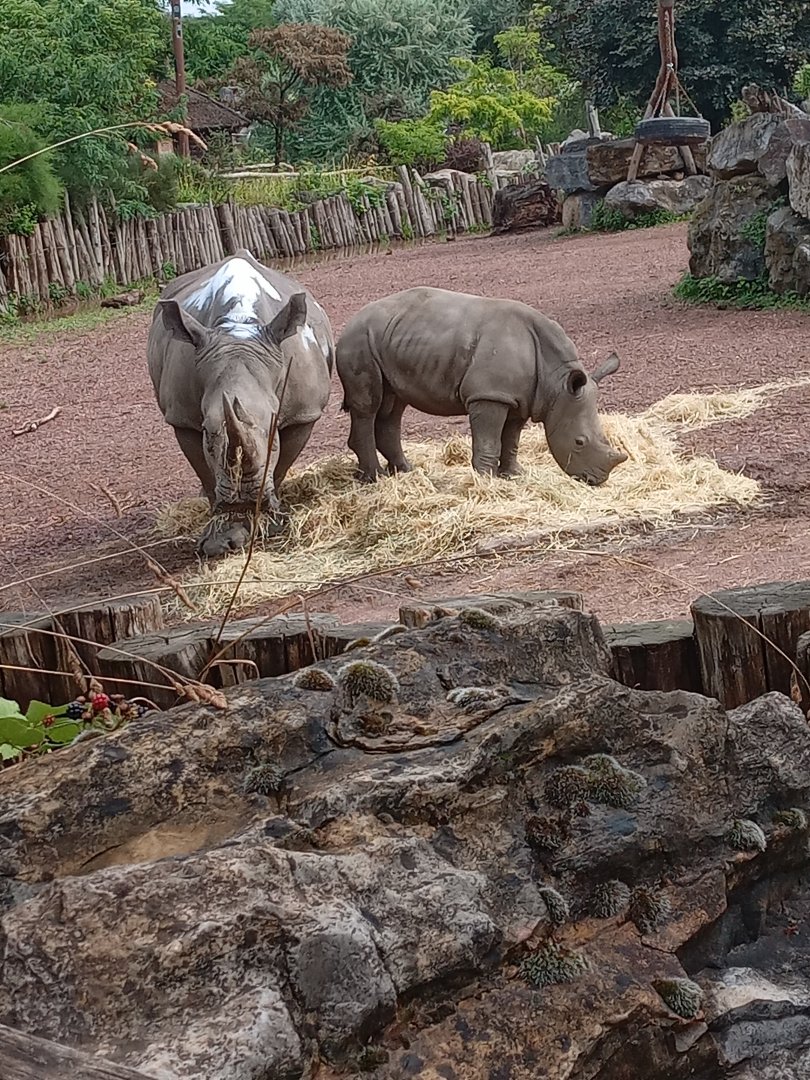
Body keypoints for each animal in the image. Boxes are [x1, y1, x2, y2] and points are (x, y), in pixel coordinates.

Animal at [147, 250, 334, 557]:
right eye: (206, 430)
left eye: (273, 428)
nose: (242, 500)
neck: (238, 327)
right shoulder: (182, 418)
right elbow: (206, 472)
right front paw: (218, 539)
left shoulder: (303, 413)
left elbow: (280, 466)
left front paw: (269, 525)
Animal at [336, 286, 627, 484]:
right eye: (579, 442)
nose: (596, 480)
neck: (557, 381)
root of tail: (350, 321)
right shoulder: (489, 395)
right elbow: (489, 440)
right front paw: (485, 480)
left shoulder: (519, 398)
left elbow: (511, 439)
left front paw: (513, 474)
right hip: (358, 341)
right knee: (369, 406)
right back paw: (376, 478)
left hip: (390, 340)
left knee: (393, 406)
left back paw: (406, 472)